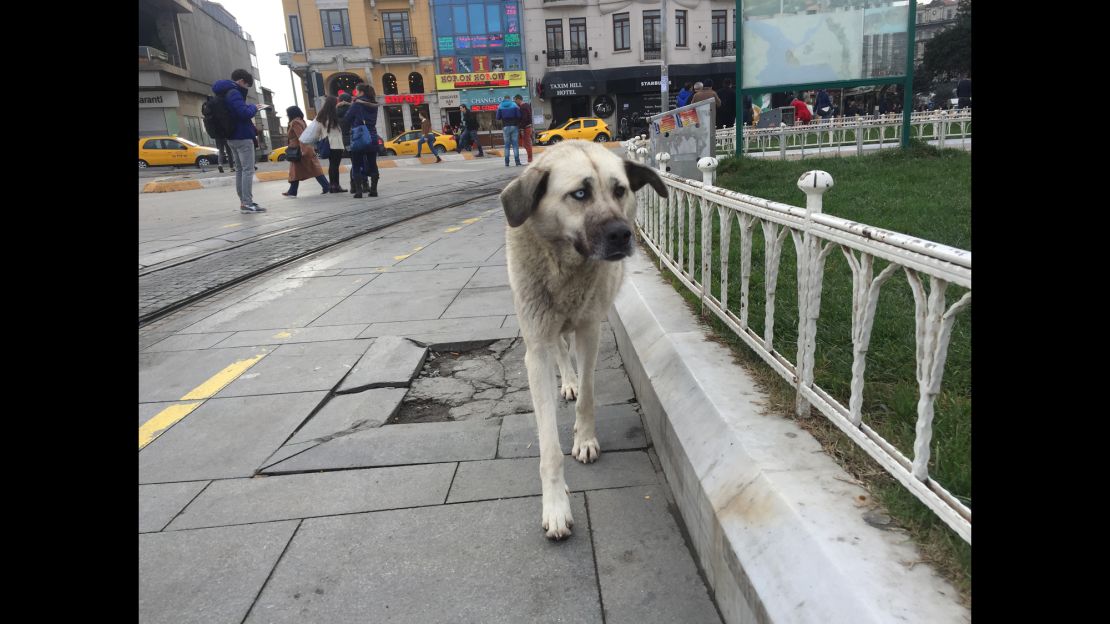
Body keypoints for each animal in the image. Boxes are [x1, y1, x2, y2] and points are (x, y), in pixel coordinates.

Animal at [501, 138, 666, 537]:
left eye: (620, 190)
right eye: (580, 193)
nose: (622, 234)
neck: (565, 267)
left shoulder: (590, 329)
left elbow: (589, 396)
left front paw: (585, 438)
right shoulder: (536, 346)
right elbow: (547, 446)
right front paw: (556, 505)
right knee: (561, 350)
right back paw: (568, 381)